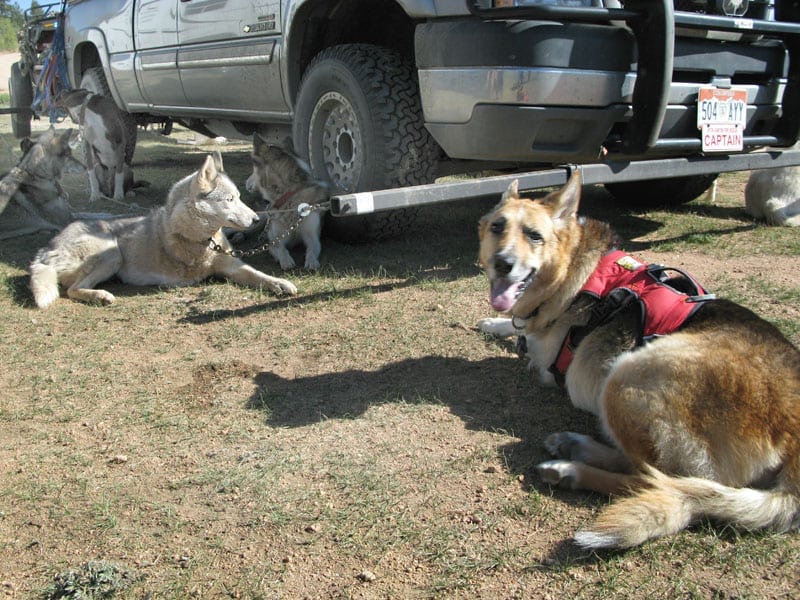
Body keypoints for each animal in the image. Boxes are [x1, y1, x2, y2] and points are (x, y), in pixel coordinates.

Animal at [28, 150, 298, 310]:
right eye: (229, 200)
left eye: (240, 198)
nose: (256, 218)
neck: (202, 242)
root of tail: (45, 250)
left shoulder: (232, 266)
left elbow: (258, 275)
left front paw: (280, 284)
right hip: (112, 253)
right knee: (72, 290)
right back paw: (100, 296)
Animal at [247, 135, 328, 270]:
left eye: (253, 171)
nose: (246, 183)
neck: (289, 197)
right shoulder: (274, 241)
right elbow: (281, 249)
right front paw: (286, 261)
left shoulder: (312, 236)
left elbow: (312, 249)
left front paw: (311, 262)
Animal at [478, 172, 796, 548]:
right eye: (497, 226)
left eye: (535, 236)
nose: (502, 263)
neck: (573, 268)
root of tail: (793, 432)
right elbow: (514, 329)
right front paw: (493, 324)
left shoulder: (545, 357)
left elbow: (526, 342)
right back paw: (573, 446)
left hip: (627, 375)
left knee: (648, 477)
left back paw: (570, 469)